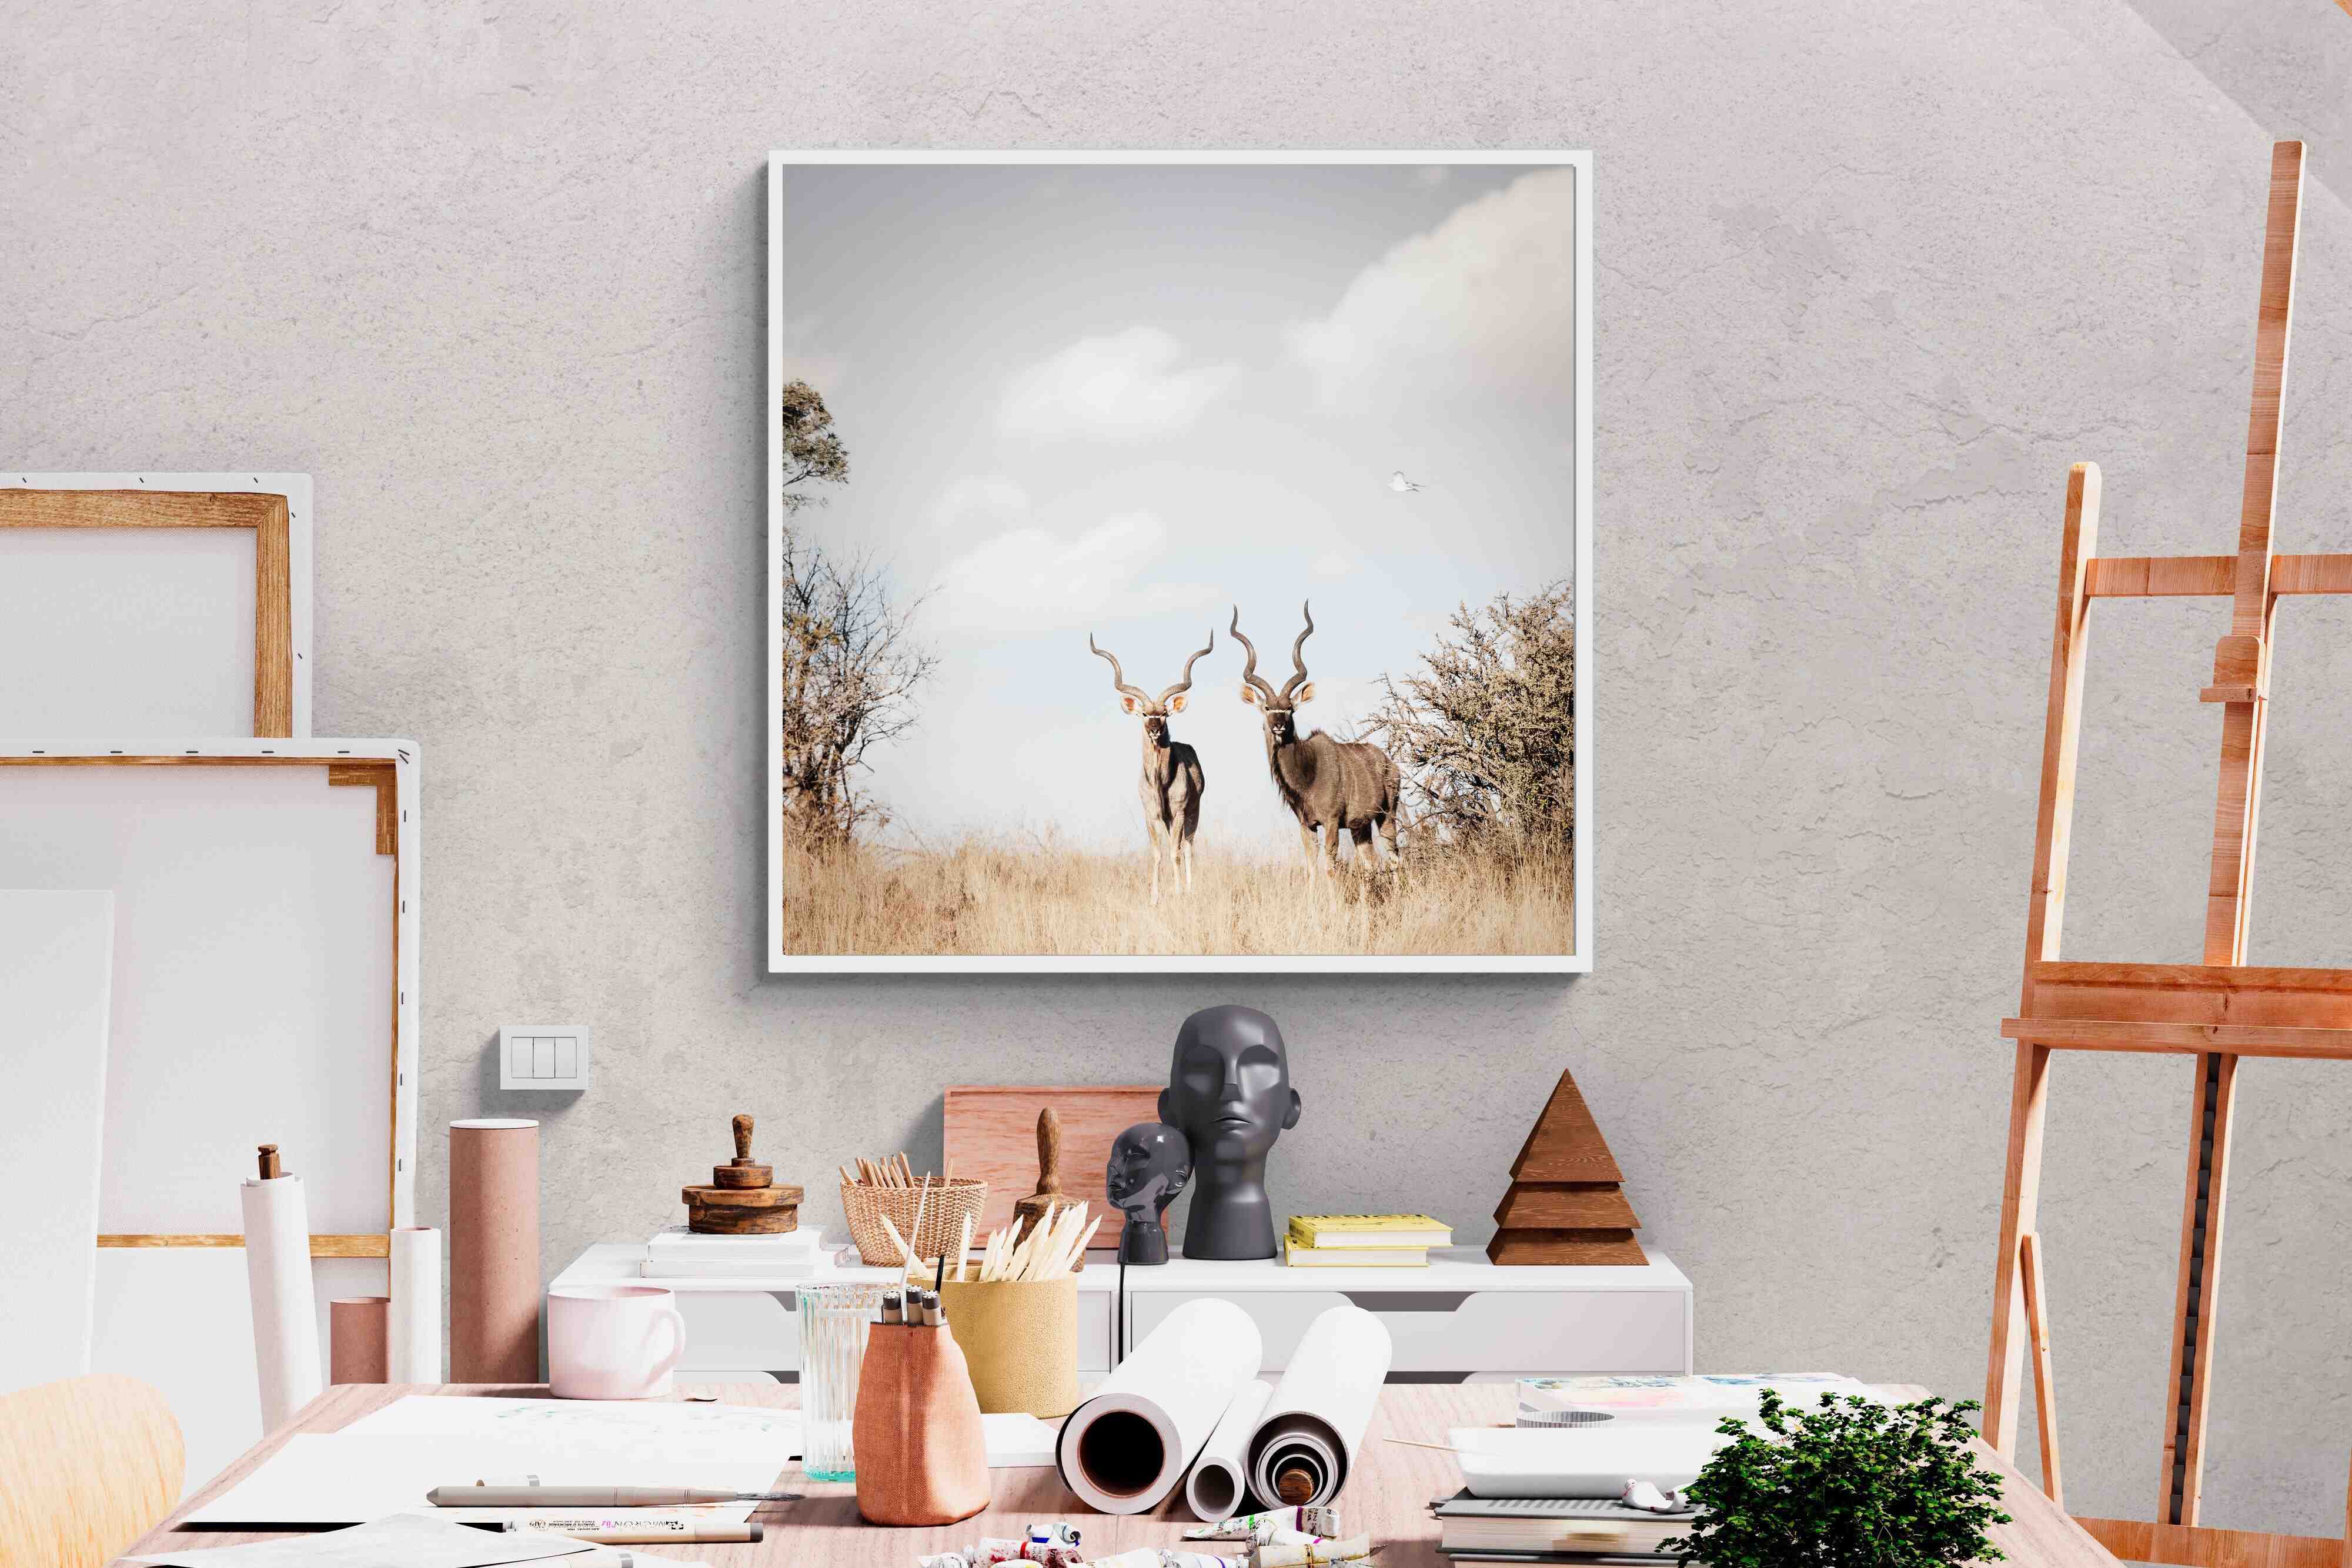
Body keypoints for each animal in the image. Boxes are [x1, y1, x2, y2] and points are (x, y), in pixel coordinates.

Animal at [1089, 629, 1215, 905]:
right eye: (1146, 714)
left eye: (1164, 714)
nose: (1155, 729)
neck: (1161, 781)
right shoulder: (1152, 815)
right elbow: (1158, 854)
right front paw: (1154, 898)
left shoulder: (1179, 813)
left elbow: (1175, 853)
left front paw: (1178, 893)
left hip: (1193, 813)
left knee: (1187, 848)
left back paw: (1188, 890)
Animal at [1231, 602, 1402, 883]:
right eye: (1268, 708)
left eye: (1290, 708)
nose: (1279, 725)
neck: (1308, 774)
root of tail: (1391, 765)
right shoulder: (1307, 825)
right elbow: (1311, 869)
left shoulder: (1331, 822)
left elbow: (1330, 869)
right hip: (1361, 827)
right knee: (1371, 863)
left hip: (1387, 816)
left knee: (1395, 857)